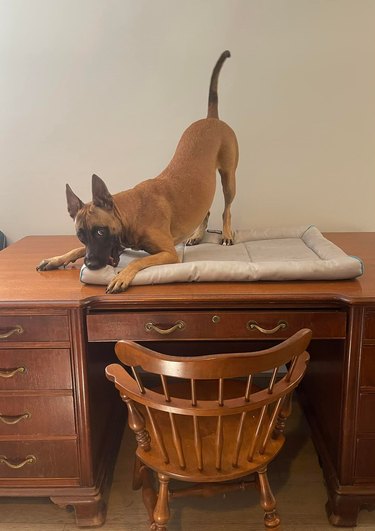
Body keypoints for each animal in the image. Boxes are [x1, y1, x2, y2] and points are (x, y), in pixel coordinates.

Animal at [37, 51, 238, 294]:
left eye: (100, 231)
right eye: (80, 235)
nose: (91, 264)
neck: (130, 212)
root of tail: (211, 119)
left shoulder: (168, 253)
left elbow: (139, 260)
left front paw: (122, 276)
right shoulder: (117, 245)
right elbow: (78, 250)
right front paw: (56, 259)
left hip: (229, 178)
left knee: (227, 209)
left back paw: (226, 233)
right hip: (205, 188)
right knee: (205, 211)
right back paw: (198, 234)